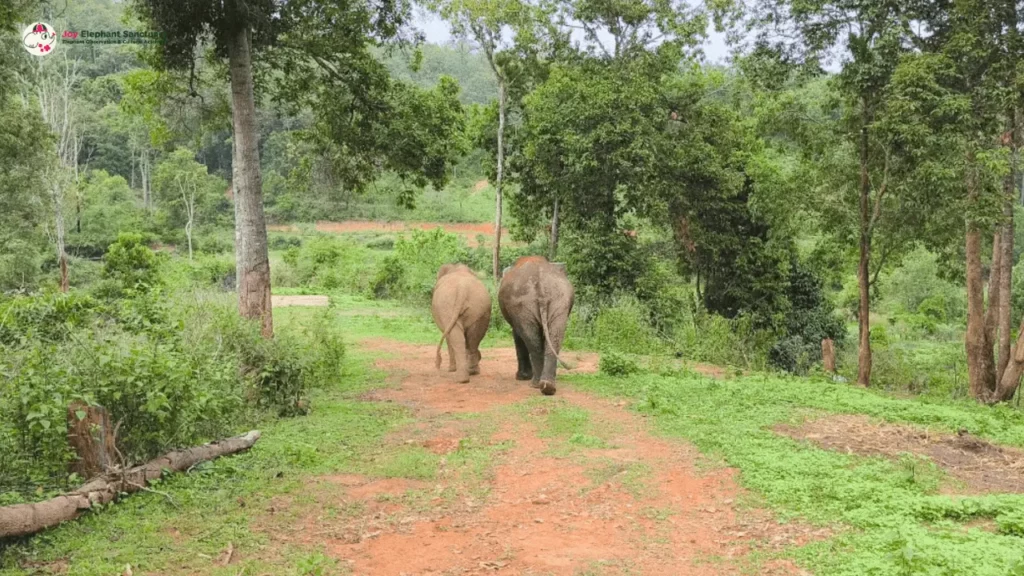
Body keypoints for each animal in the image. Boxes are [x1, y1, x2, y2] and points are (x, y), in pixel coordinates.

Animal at [497, 255, 577, 393]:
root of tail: (542, 287)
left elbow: (517, 334)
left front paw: (521, 377)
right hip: (558, 300)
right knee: (554, 336)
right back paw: (547, 386)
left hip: (523, 304)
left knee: (531, 340)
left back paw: (536, 384)